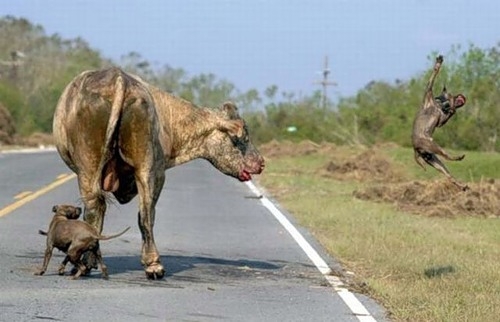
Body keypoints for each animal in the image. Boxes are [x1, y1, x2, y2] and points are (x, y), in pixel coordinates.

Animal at [51, 68, 266, 280]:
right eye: (244, 137)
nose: (262, 163)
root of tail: (119, 78)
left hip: (101, 167)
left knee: (108, 210)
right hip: (138, 167)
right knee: (139, 214)